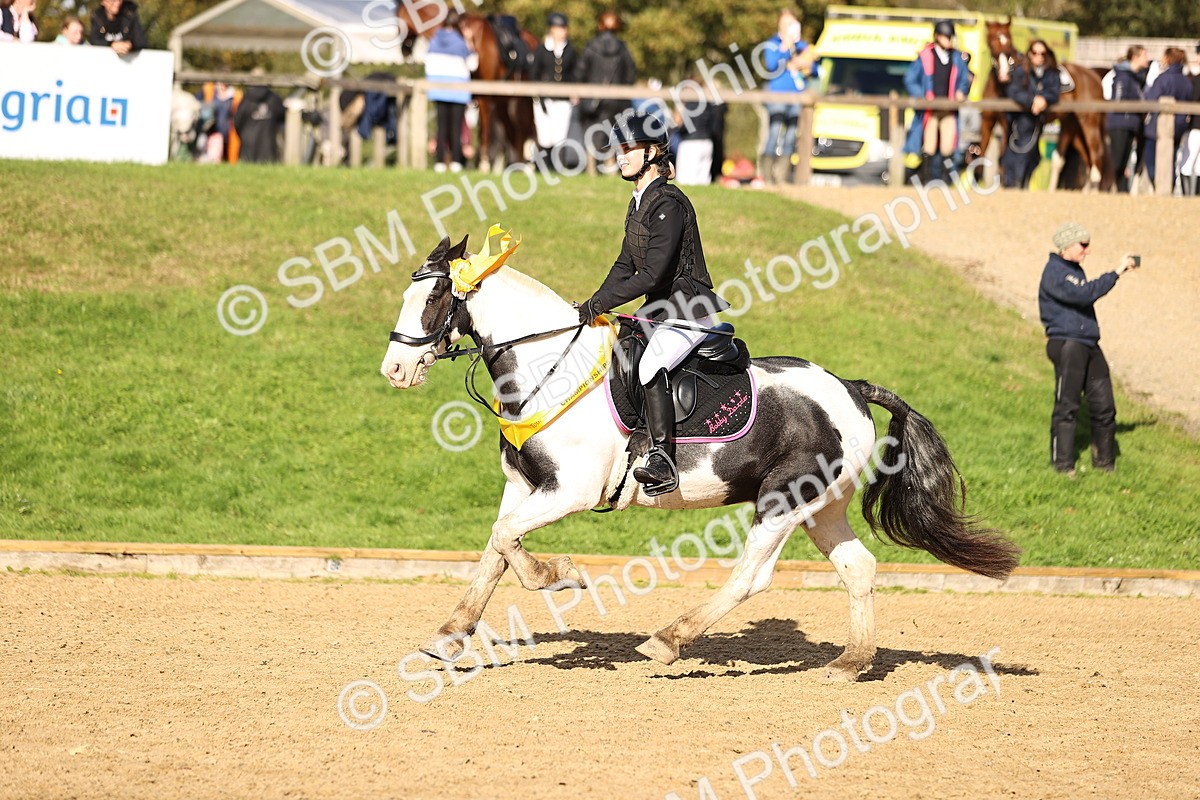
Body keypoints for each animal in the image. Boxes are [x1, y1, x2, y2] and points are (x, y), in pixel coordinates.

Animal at [378, 234, 1022, 680]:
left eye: (434, 296)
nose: (395, 369)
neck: (547, 367)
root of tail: (851, 387)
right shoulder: (523, 486)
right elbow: (495, 550)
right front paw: (448, 635)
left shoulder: (570, 490)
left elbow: (509, 542)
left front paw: (560, 576)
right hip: (821, 507)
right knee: (858, 568)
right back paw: (848, 663)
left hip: (783, 501)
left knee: (751, 578)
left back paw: (668, 640)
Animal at [395, 5, 537, 171]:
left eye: (398, 17)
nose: (404, 50)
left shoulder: (484, 98)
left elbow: (482, 131)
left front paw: (483, 163)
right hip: (504, 101)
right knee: (513, 130)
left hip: (521, 100)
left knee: (525, 128)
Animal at [981, 20, 1112, 191]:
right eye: (991, 41)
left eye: (1008, 40)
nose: (1004, 72)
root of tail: (1094, 78)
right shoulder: (989, 121)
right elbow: (983, 152)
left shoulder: (1007, 124)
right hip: (1073, 127)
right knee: (1087, 159)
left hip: (1089, 123)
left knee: (1096, 155)